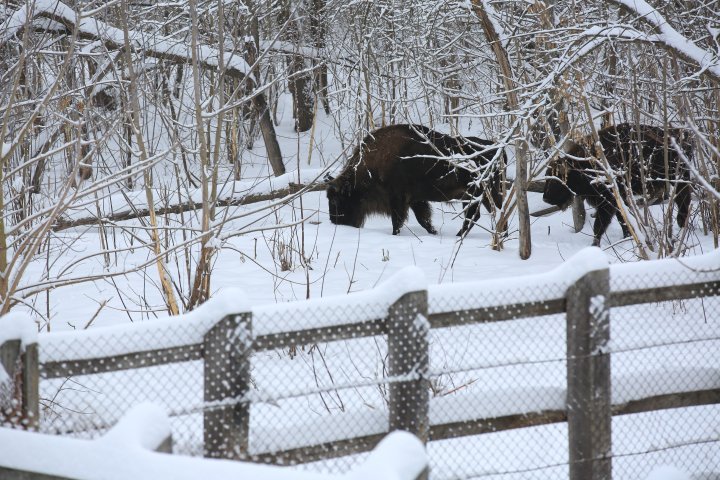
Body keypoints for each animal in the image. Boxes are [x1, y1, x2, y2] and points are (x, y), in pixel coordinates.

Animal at [324, 124, 504, 236]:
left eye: (336, 200)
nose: (335, 221)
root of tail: (497, 150)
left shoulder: (398, 199)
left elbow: (397, 221)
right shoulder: (415, 200)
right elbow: (423, 219)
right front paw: (434, 232)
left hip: (477, 194)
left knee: (476, 216)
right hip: (479, 196)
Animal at [544, 122, 692, 246]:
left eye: (556, 180)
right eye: (547, 177)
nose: (545, 198)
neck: (582, 165)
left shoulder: (609, 201)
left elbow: (601, 225)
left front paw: (595, 244)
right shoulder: (618, 200)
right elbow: (622, 219)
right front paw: (627, 236)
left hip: (677, 178)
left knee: (683, 197)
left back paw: (681, 223)